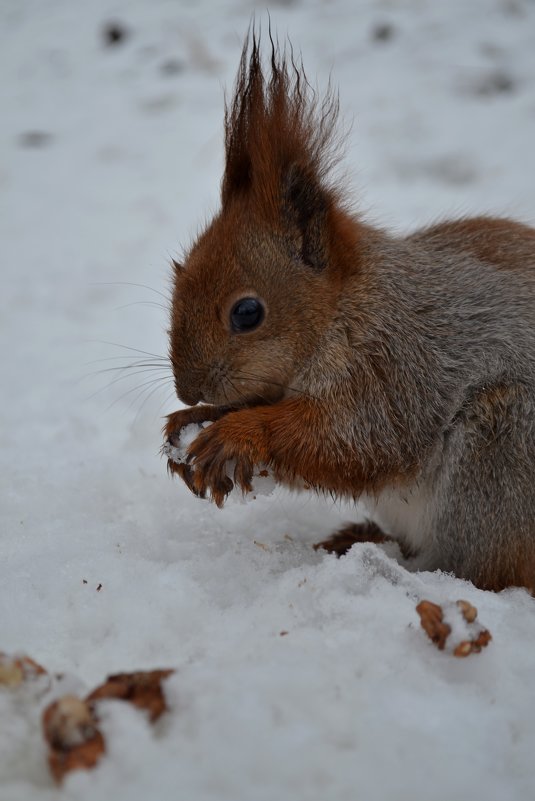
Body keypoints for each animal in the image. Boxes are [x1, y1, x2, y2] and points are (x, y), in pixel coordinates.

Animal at [163, 34, 535, 592]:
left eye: (247, 312)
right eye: (178, 276)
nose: (188, 390)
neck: (344, 309)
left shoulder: (395, 365)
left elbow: (352, 440)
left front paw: (239, 433)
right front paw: (191, 420)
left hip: (499, 455)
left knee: (484, 567)